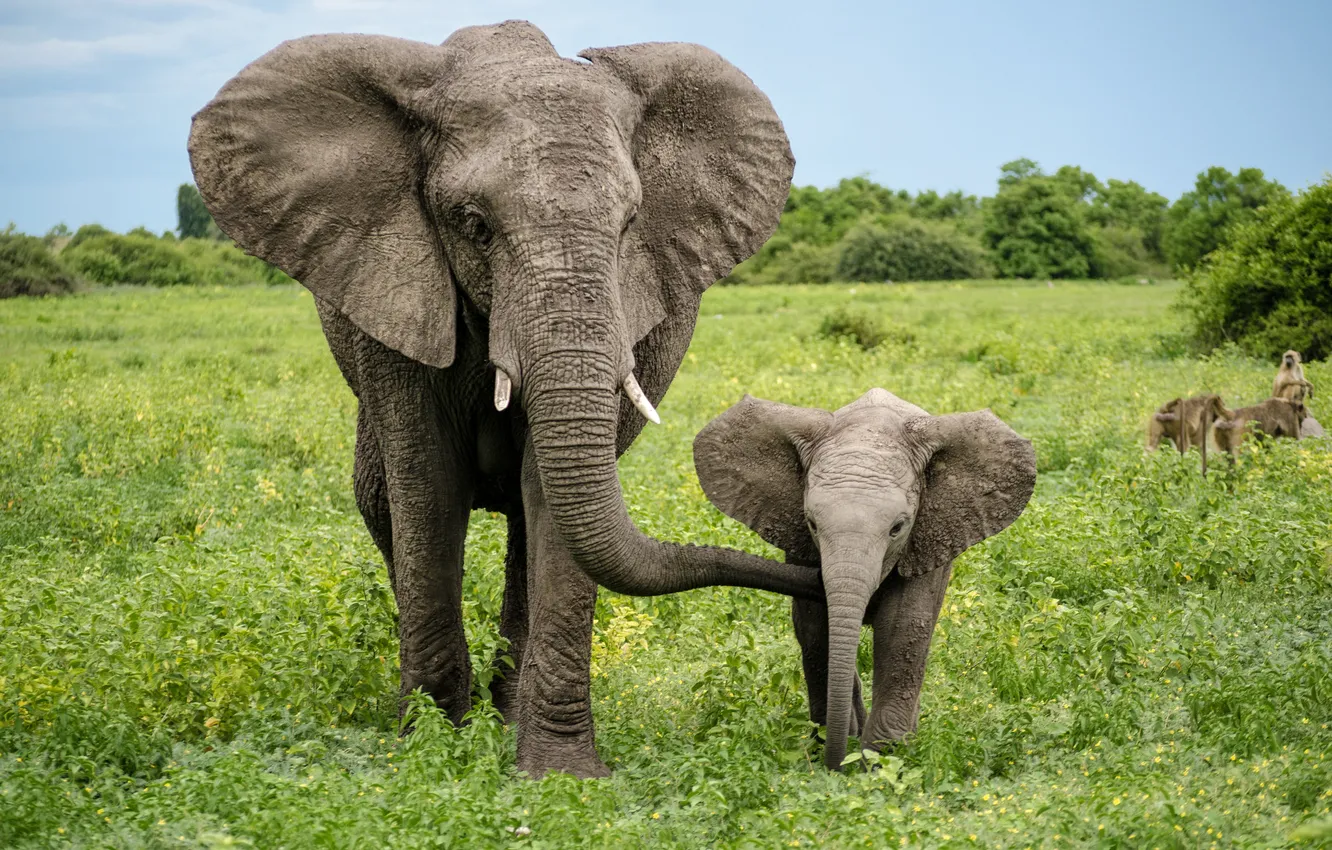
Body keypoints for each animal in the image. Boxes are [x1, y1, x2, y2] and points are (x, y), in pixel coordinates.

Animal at [187, 20, 825, 779]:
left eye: (630, 224)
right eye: (473, 224)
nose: (817, 567)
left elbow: (549, 497)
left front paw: (560, 775)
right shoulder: (395, 293)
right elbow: (427, 485)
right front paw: (432, 753)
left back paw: (508, 714)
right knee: (382, 504)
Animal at [693, 389, 1036, 770]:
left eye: (897, 528)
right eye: (812, 523)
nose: (835, 766)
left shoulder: (930, 537)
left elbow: (903, 627)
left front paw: (882, 759)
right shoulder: (798, 540)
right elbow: (815, 626)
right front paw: (836, 745)